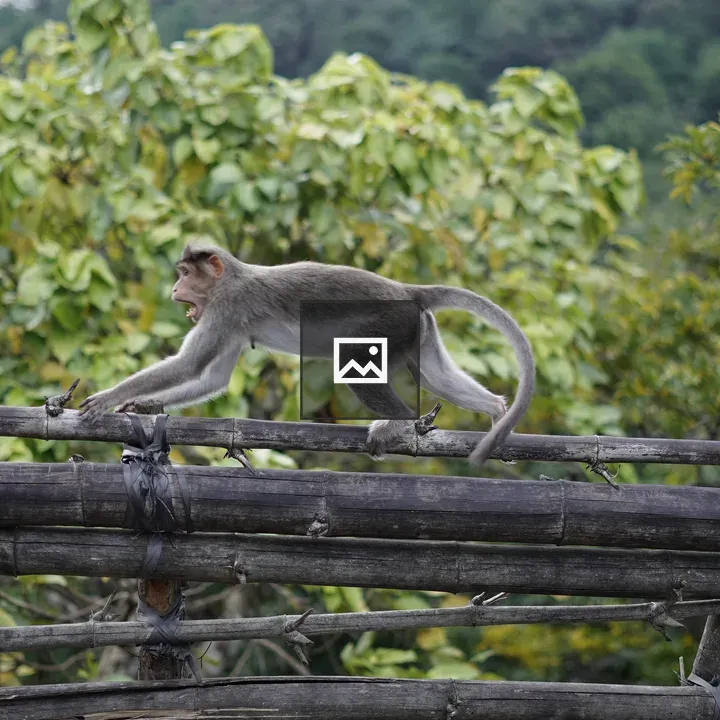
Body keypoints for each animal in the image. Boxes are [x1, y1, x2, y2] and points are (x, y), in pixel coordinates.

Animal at [79, 243, 535, 466]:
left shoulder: (228, 306)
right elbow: (212, 378)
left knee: (355, 357)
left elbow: (191, 365)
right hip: (416, 326)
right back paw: (496, 412)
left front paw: (108, 398)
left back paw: (397, 423)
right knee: (435, 376)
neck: (231, 277)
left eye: (187, 274)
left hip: (390, 319)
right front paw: (143, 404)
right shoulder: (231, 319)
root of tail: (406, 289)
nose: (175, 289)